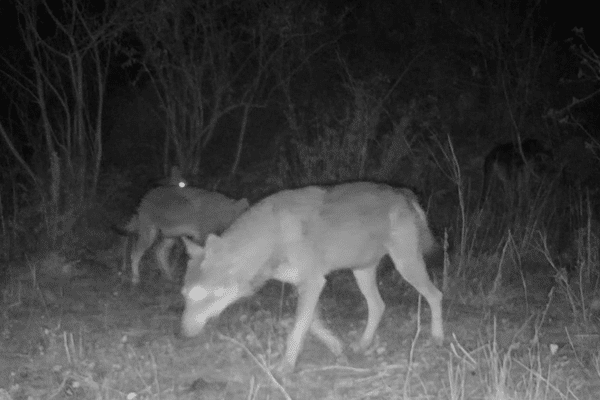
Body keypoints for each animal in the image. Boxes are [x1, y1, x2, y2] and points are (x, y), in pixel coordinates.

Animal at [180, 183, 442, 374]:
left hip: (406, 266)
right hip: (362, 271)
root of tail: (402, 193)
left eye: (200, 295)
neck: (272, 238)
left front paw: (285, 367)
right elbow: (312, 324)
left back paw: (438, 336)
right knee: (378, 306)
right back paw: (362, 344)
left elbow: (298, 328)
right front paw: (337, 347)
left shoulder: (313, 283)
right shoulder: (304, 285)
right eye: (184, 295)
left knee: (435, 295)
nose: (181, 332)